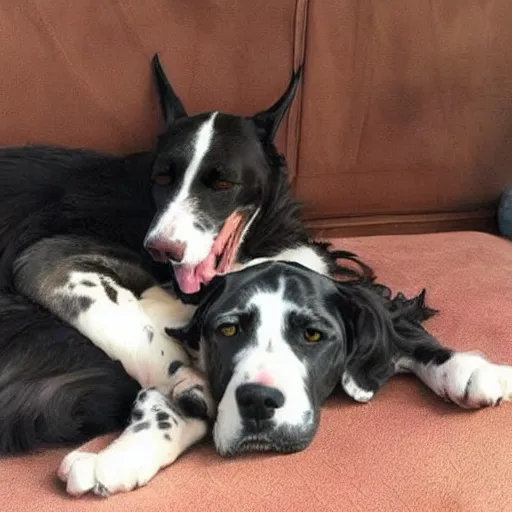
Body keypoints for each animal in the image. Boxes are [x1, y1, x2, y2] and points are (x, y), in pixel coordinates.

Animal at [1, 55, 512, 496]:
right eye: (162, 178)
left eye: (223, 182)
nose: (160, 247)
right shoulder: (49, 259)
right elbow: (139, 333)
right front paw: (176, 395)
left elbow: (383, 314)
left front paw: (463, 367)